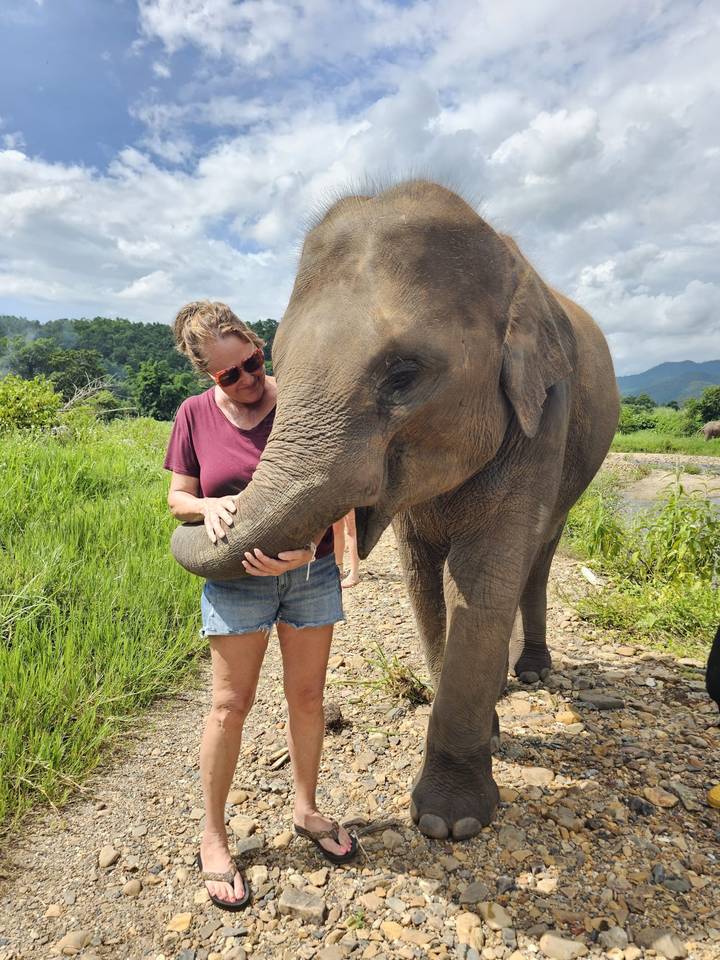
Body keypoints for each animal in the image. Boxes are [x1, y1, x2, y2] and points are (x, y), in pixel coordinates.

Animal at [170, 180, 620, 840]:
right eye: (270, 361)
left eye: (404, 374)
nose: (213, 512)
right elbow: (423, 580)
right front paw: (484, 737)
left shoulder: (544, 416)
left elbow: (480, 580)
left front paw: (448, 822)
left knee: (536, 557)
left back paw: (533, 672)